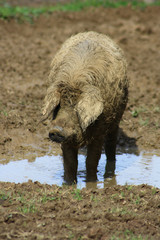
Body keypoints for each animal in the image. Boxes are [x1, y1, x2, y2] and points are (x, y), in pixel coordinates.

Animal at [42, 31, 128, 184]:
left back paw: (110, 171)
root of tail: (96, 33)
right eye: (59, 105)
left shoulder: (99, 132)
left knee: (111, 143)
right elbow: (70, 162)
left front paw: (92, 183)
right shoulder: (66, 139)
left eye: (77, 107)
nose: (56, 130)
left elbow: (92, 160)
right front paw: (69, 184)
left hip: (117, 119)